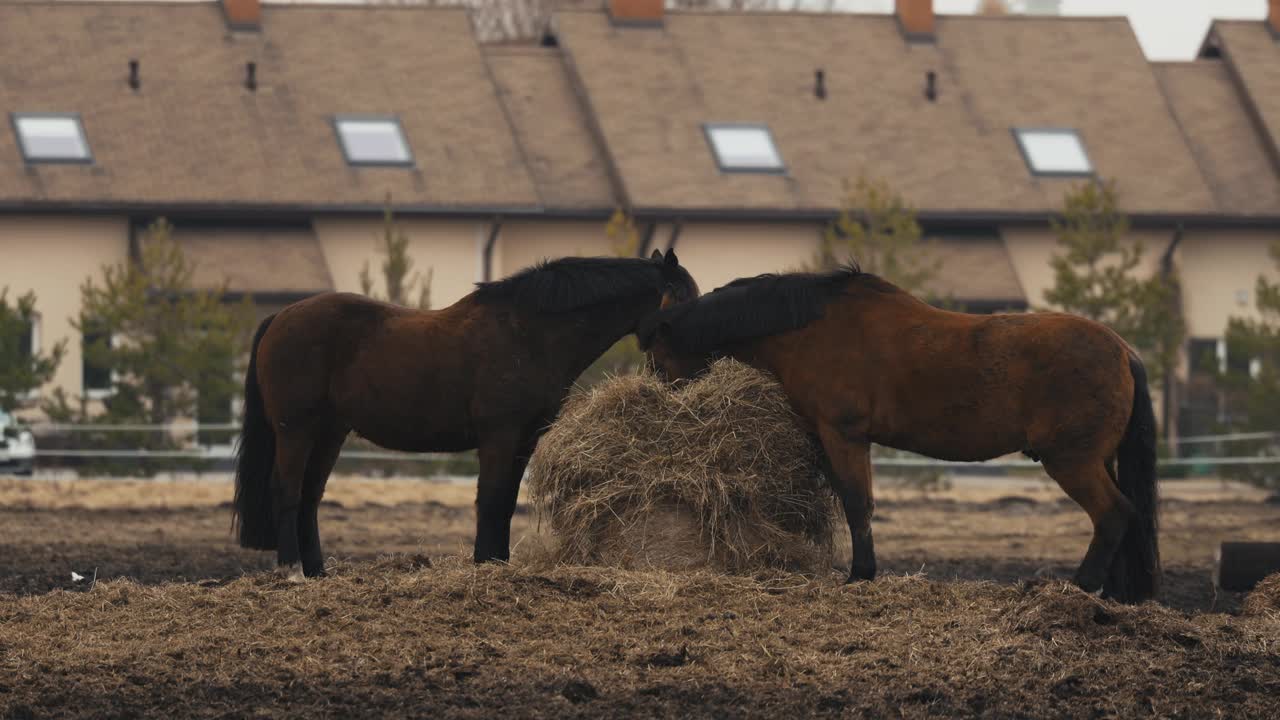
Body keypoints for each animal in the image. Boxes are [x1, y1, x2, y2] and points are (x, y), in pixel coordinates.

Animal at [235, 248, 706, 576]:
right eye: (681, 300)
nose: (694, 377)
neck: (530, 333)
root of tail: (280, 317)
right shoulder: (498, 435)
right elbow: (491, 498)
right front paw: (484, 562)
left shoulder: (524, 439)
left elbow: (507, 502)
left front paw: (497, 562)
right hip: (295, 429)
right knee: (287, 491)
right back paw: (292, 571)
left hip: (330, 433)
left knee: (310, 497)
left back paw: (317, 572)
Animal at [640, 263, 1162, 599]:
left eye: (656, 356)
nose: (661, 397)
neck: (809, 329)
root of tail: (1122, 351)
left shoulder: (845, 434)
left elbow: (858, 504)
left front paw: (860, 575)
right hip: (1096, 460)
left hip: (1072, 462)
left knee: (1113, 514)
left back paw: (1080, 589)